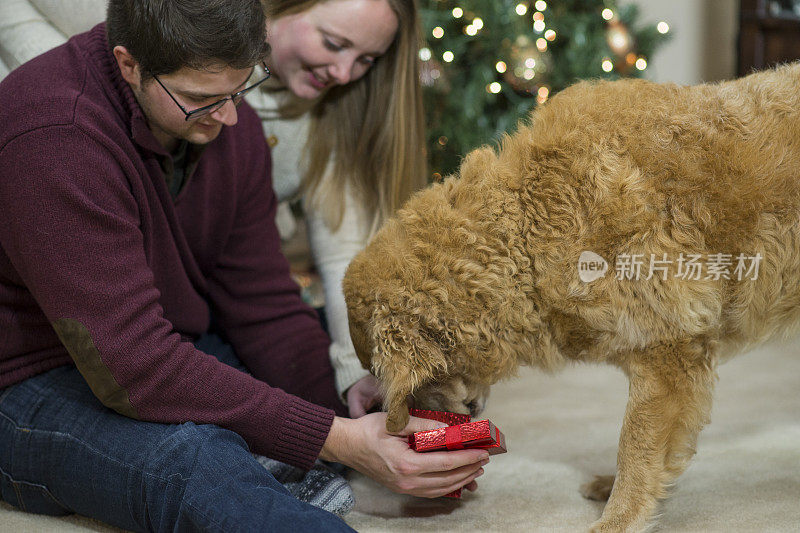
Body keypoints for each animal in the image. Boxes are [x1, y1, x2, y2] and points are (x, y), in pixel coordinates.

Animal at [340, 61, 800, 528]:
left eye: (379, 372)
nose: (398, 419)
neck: (527, 223)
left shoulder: (668, 356)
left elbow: (635, 450)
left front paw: (617, 519)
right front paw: (611, 490)